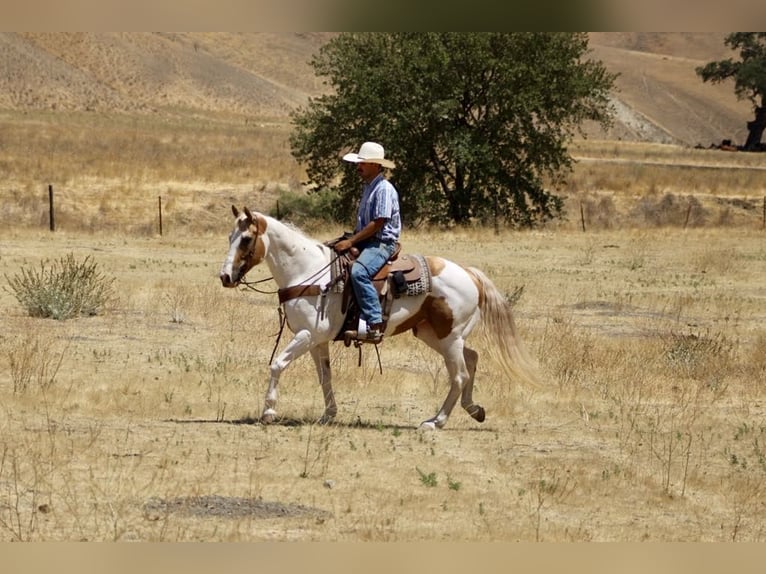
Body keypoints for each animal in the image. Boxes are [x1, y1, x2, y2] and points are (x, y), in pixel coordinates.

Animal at [219, 206, 540, 430]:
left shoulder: (307, 335)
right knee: (471, 359)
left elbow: (277, 364)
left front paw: (268, 412)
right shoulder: (317, 340)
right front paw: (329, 414)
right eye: (230, 237)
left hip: (449, 337)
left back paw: (435, 421)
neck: (308, 271)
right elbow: (325, 377)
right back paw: (474, 409)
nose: (225, 277)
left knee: (459, 374)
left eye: (246, 239)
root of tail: (470, 274)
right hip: (435, 334)